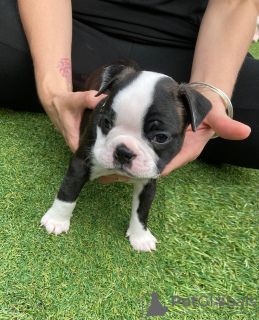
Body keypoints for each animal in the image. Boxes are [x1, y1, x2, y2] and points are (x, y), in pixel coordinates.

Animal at [40, 60, 211, 252]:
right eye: (106, 122)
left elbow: (142, 210)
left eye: (160, 137)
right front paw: (57, 219)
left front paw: (140, 236)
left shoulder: (148, 180)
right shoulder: (81, 162)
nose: (123, 151)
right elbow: (68, 191)